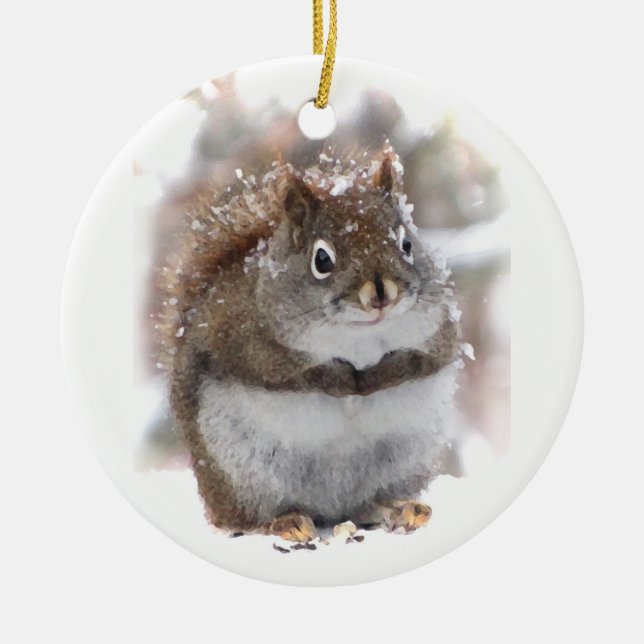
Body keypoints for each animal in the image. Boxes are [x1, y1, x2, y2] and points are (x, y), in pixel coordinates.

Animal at [153, 144, 464, 542]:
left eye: (406, 244)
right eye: (322, 259)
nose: (382, 294)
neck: (359, 334)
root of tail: (329, 509)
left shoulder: (440, 329)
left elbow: (426, 360)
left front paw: (381, 375)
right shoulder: (243, 337)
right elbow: (284, 372)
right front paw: (339, 379)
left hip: (405, 459)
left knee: (366, 504)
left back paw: (399, 508)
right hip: (239, 470)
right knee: (241, 519)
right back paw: (282, 522)